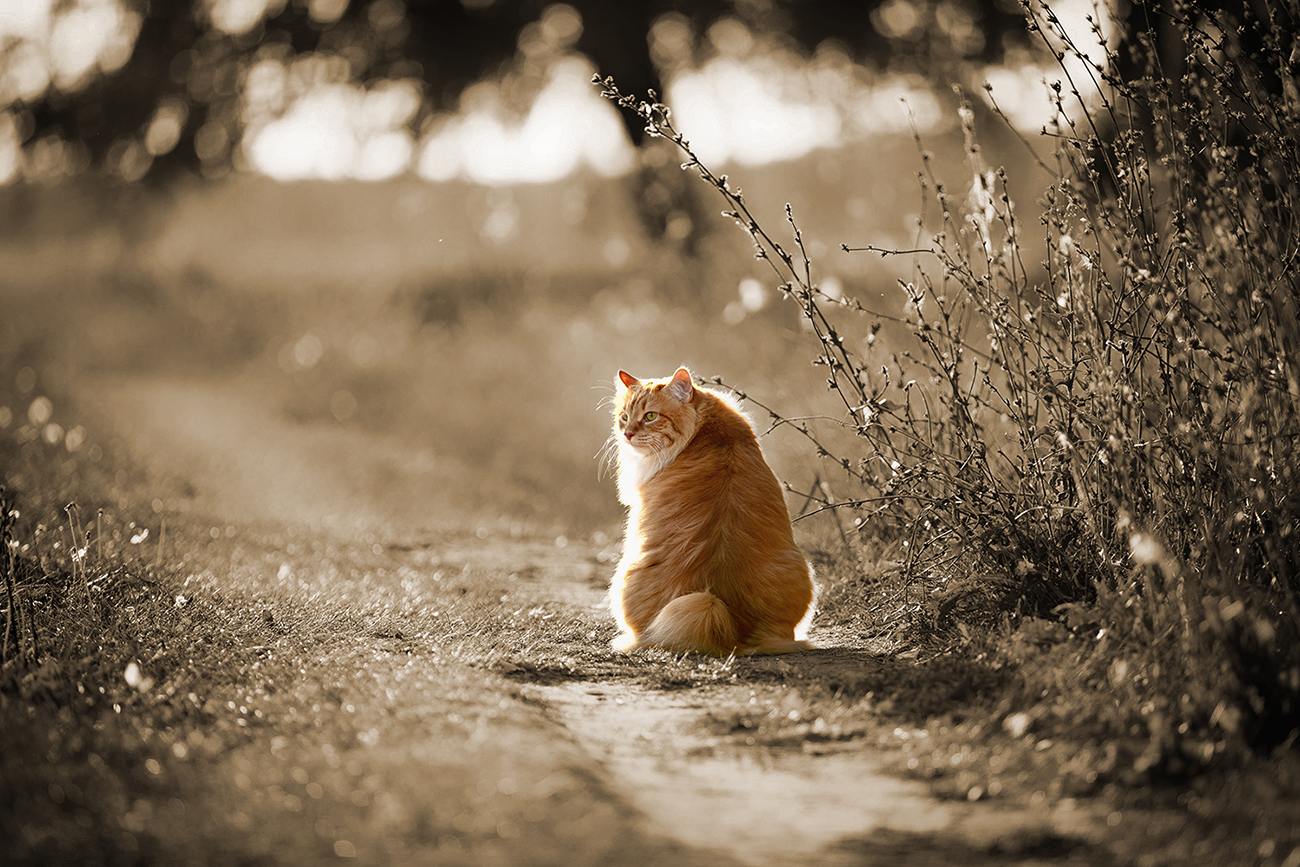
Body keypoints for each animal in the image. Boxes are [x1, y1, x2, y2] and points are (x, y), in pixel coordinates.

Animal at [605, 366, 811, 657]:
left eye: (650, 416)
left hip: (622, 576)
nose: (627, 434)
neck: (708, 431)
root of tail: (715, 606)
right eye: (623, 417)